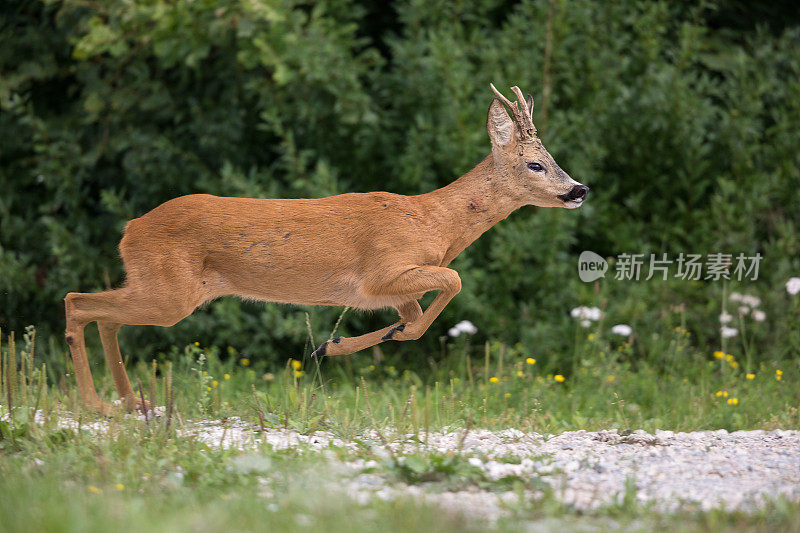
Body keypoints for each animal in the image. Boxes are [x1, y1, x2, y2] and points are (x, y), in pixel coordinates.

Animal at [64, 85, 588, 414]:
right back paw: (96, 404)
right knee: (78, 302)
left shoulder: (394, 289)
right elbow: (452, 282)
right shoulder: (381, 270)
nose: (579, 188)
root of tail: (130, 229)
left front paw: (344, 342)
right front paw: (331, 346)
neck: (435, 223)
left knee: (104, 315)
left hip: (160, 288)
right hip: (169, 291)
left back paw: (131, 402)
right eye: (537, 164)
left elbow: (417, 320)